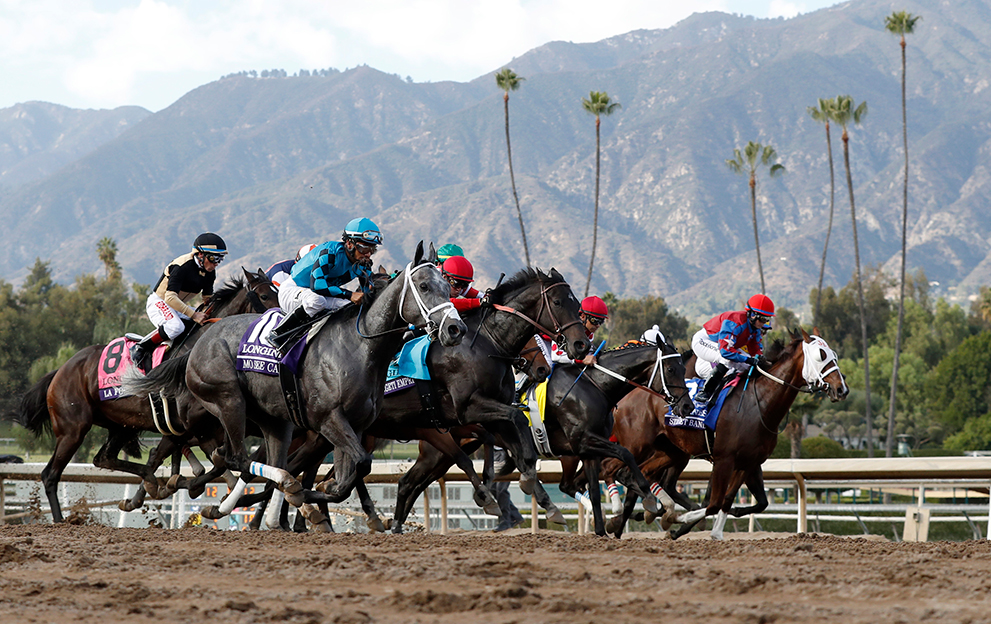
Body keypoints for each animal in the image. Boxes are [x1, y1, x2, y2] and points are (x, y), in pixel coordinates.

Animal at [12, 268, 280, 520]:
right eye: (264, 296)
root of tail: (60, 370)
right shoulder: (189, 423)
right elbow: (209, 459)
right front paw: (184, 485)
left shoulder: (192, 426)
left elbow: (210, 459)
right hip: (72, 430)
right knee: (50, 474)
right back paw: (60, 519)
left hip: (120, 426)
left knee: (104, 459)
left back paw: (151, 482)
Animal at [122, 241, 466, 520]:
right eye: (424, 286)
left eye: (448, 289)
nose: (455, 329)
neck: (359, 346)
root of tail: (199, 342)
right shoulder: (328, 420)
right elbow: (356, 467)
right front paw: (308, 496)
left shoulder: (354, 426)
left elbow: (350, 475)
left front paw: (316, 497)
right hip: (228, 402)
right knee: (234, 457)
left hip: (275, 421)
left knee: (245, 457)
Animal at [600, 330, 848, 540]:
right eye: (821, 355)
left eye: (835, 356)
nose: (842, 389)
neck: (759, 404)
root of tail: (628, 393)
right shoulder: (724, 460)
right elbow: (713, 502)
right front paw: (681, 521)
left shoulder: (749, 462)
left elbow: (743, 501)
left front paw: (716, 529)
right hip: (637, 445)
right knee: (616, 470)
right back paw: (628, 516)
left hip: (671, 451)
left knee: (641, 474)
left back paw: (642, 514)